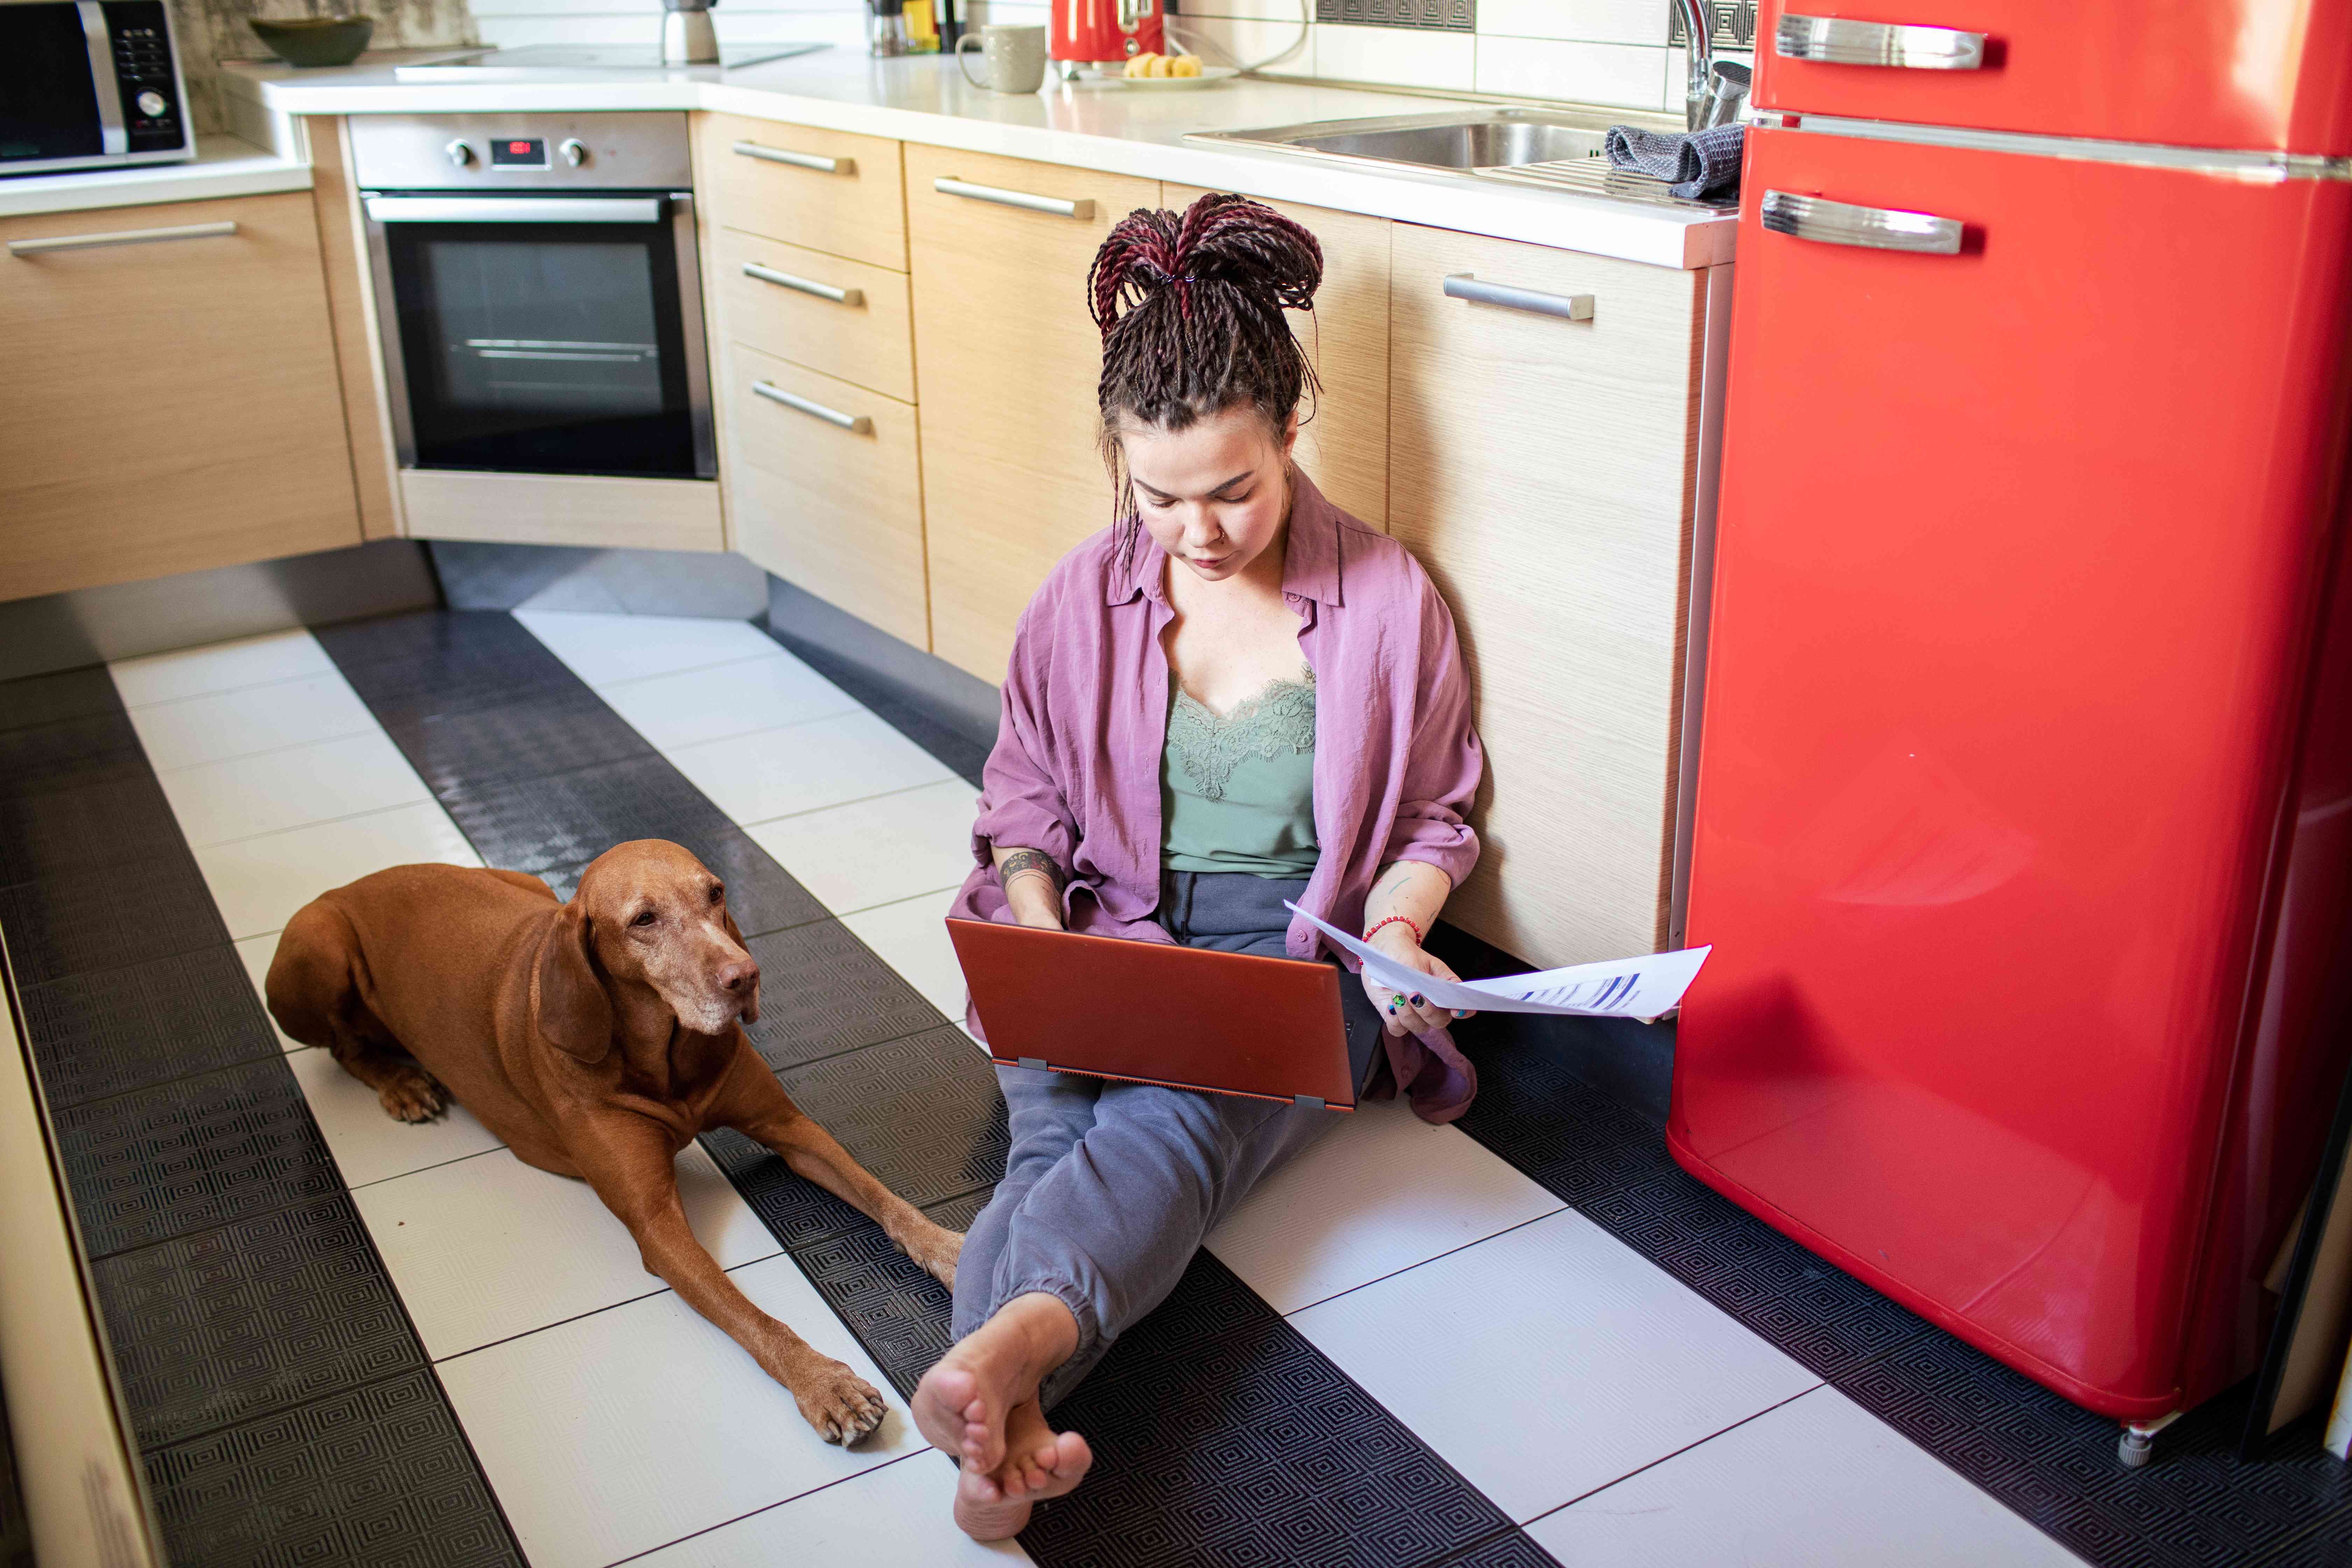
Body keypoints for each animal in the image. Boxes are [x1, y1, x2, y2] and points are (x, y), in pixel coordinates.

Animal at [262, 832, 950, 1448]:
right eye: (644, 919)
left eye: (715, 892)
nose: (746, 976)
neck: (663, 1056)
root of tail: (348, 885)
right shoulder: (657, 1228)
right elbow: (754, 1318)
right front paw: (824, 1384)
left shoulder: (791, 1129)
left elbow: (883, 1198)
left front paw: (951, 1249)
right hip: (317, 950)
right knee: (343, 1046)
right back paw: (400, 1082)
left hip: (528, 885)